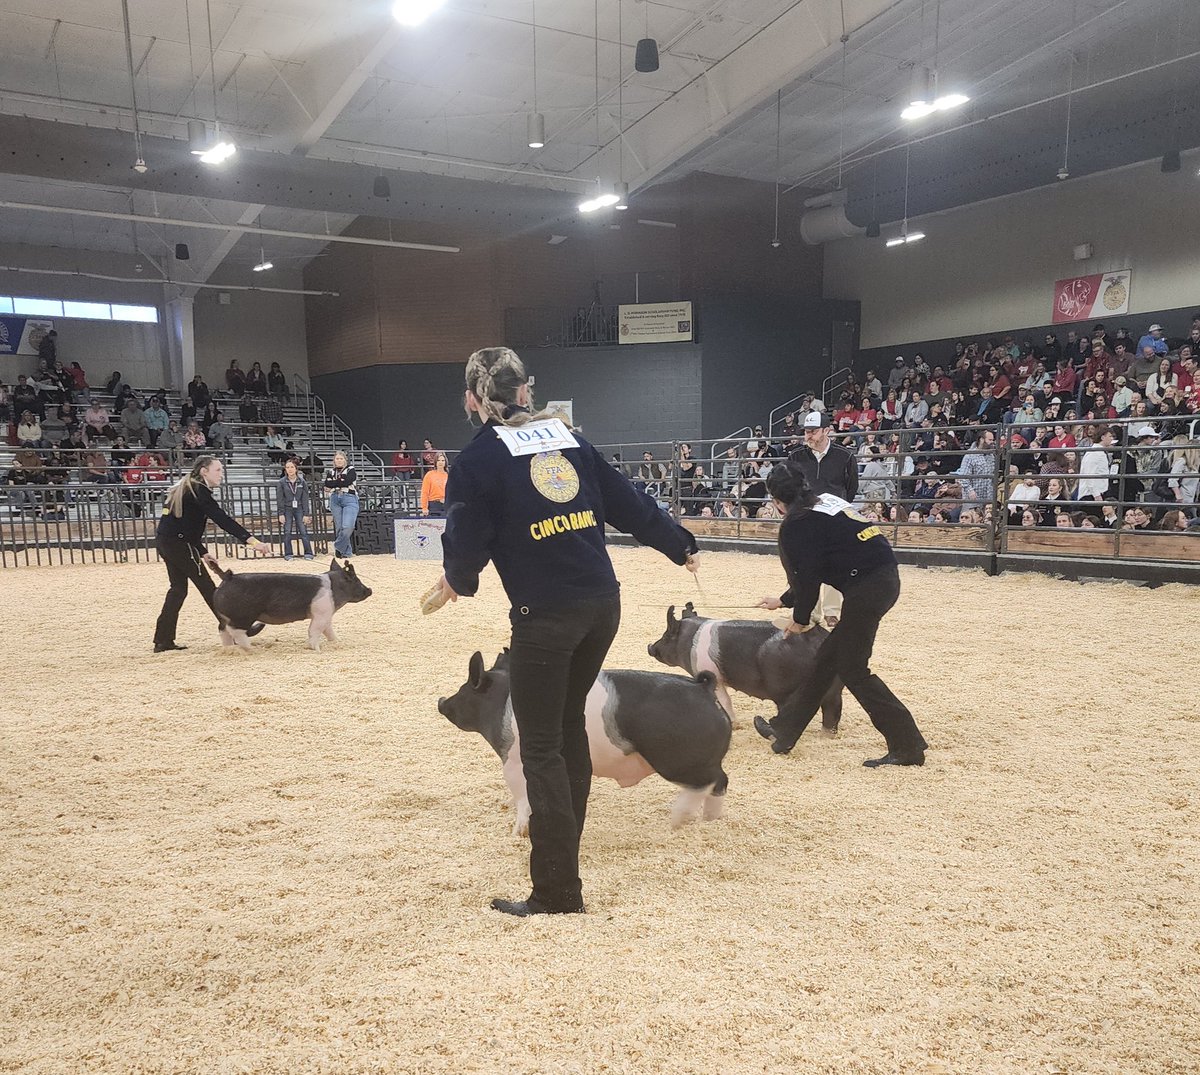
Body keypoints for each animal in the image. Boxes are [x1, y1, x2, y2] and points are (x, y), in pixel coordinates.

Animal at [207, 559, 369, 652]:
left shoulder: (326, 615)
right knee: (236, 632)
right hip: (242, 616)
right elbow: (314, 631)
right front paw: (317, 650)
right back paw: (251, 649)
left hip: (226, 617)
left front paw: (337, 642)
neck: (333, 588)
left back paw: (229, 649)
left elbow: (328, 630)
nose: (370, 590)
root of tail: (227, 577)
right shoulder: (320, 614)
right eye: (356, 580)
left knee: (223, 630)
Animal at [436, 652, 724, 835]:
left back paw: (678, 820)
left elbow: (521, 797)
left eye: (463, 689)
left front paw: (518, 833)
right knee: (720, 783)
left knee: (708, 783)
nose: (441, 701)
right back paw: (709, 820)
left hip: (680, 761)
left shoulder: (513, 763)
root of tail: (703, 689)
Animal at [648, 599, 844, 734]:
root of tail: (817, 639)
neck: (690, 642)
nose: (650, 646)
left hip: (787, 690)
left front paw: (734, 726)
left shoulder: (713, 675)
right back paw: (827, 734)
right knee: (832, 711)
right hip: (835, 689)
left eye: (666, 635)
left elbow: (724, 700)